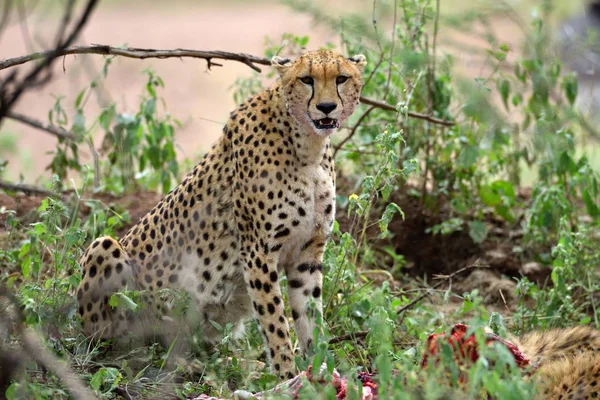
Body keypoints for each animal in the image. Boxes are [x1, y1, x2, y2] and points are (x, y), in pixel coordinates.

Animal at [75, 49, 366, 378]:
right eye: (307, 79)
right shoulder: (258, 252)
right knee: (119, 346)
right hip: (105, 251)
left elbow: (310, 317)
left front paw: (320, 371)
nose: (326, 107)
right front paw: (288, 377)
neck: (307, 145)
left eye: (341, 78)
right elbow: (275, 323)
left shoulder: (307, 253)